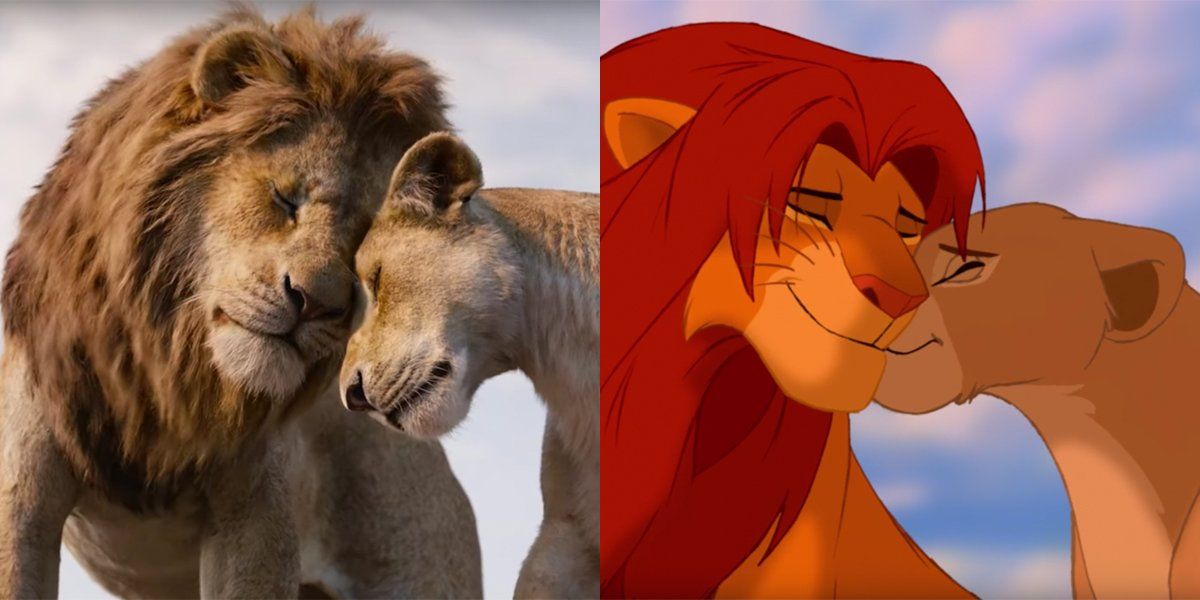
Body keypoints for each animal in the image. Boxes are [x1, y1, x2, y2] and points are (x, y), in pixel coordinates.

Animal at [0, 7, 480, 598]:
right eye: (285, 198)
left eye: (364, 241)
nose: (314, 303)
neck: (161, 381)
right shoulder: (21, 500)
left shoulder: (255, 518)